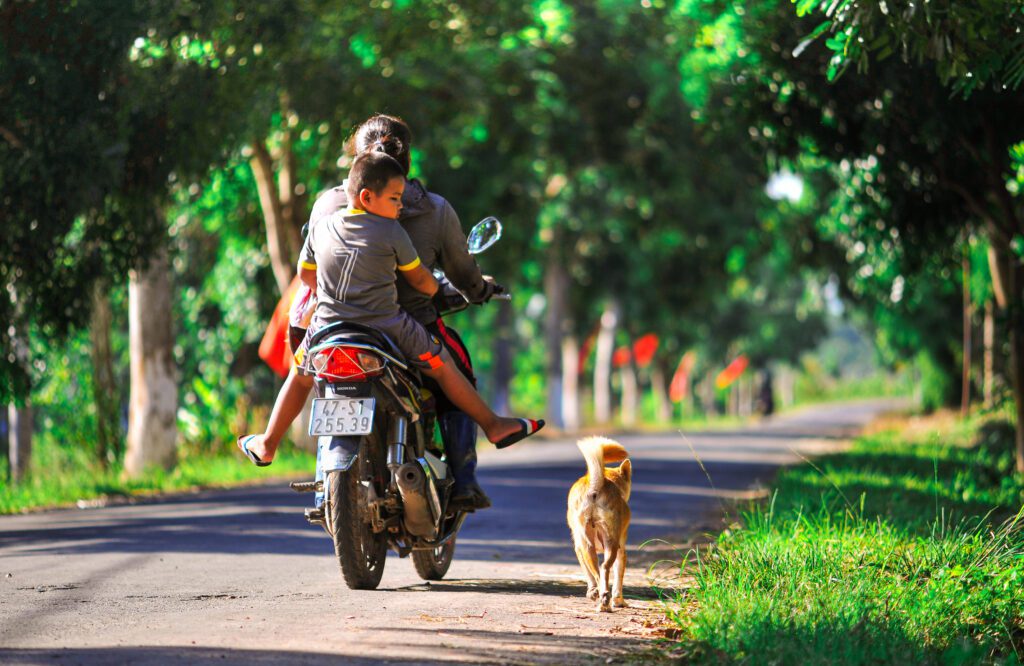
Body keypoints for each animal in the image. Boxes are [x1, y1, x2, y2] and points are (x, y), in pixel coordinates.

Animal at [569, 432, 630, 610]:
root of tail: (596, 485)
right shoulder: (622, 550)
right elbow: (618, 579)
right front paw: (619, 601)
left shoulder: (579, 547)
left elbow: (588, 573)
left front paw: (593, 592)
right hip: (611, 543)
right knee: (604, 569)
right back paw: (606, 602)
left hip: (589, 544)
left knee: (598, 571)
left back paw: (602, 600)